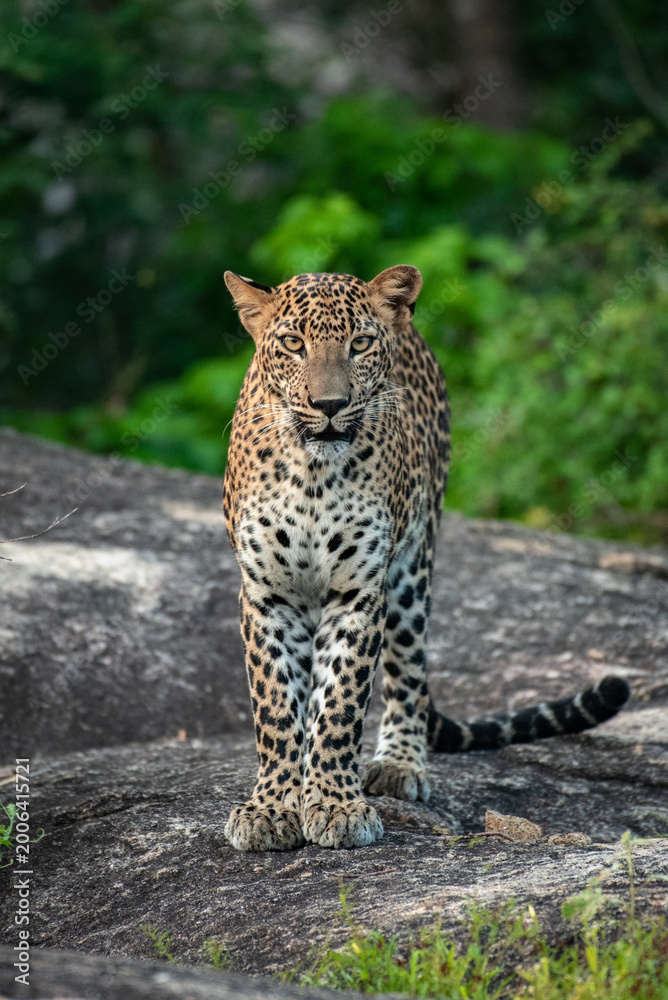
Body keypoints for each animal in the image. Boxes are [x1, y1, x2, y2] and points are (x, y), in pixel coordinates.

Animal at [221, 265, 630, 852]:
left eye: (360, 344)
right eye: (294, 344)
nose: (329, 406)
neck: (313, 475)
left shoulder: (359, 591)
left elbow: (342, 702)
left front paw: (337, 805)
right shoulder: (267, 595)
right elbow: (276, 706)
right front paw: (272, 808)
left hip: (413, 570)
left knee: (406, 674)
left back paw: (398, 764)